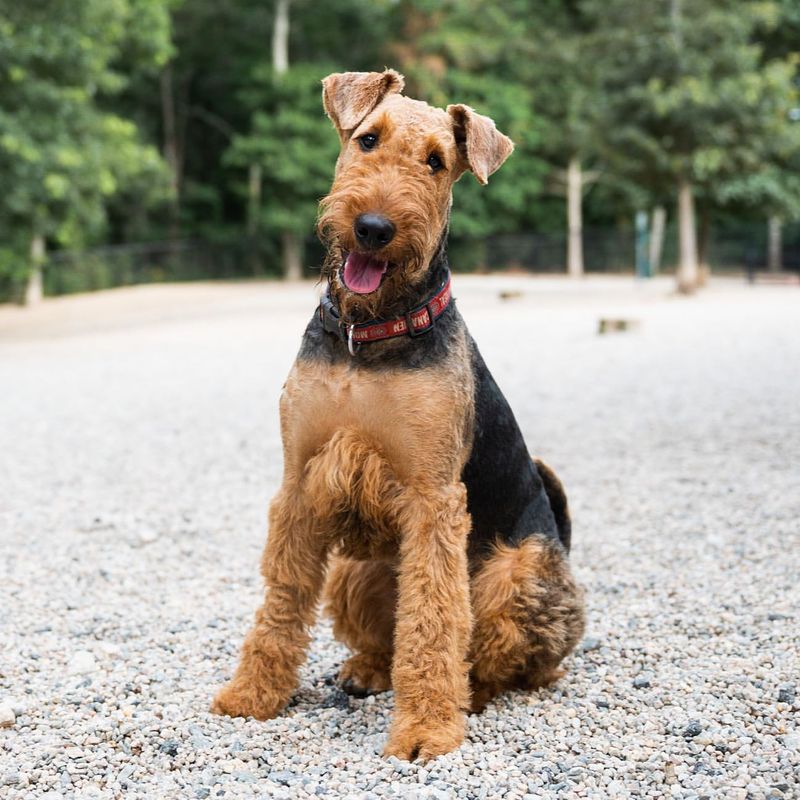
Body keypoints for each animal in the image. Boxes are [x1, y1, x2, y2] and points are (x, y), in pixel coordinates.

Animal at [212, 70, 584, 764]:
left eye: (436, 161)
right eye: (367, 139)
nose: (374, 227)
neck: (370, 334)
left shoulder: (433, 497)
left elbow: (432, 620)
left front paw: (426, 731)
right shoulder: (300, 480)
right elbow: (282, 601)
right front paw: (251, 695)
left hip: (515, 572)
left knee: (513, 657)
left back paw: (475, 693)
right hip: (354, 570)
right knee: (384, 639)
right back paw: (364, 670)